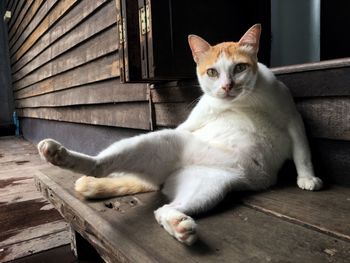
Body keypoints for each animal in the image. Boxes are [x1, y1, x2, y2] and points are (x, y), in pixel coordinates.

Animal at [37, 23, 322, 246]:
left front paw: (307, 178)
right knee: (100, 164)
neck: (246, 102)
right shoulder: (193, 120)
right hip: (159, 141)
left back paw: (178, 225)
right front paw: (308, 179)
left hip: (208, 188)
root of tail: (166, 178)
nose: (227, 86)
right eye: (212, 72)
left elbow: (303, 153)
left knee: (163, 209)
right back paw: (59, 154)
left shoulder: (293, 119)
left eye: (240, 68)